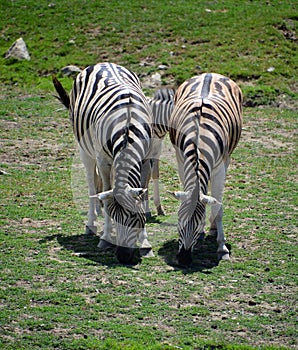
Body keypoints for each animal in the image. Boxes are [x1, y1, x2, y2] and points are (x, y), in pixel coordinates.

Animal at [53, 63, 155, 264]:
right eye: (115, 216)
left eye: (135, 217)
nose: (123, 257)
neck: (128, 127)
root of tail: (102, 64)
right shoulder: (104, 162)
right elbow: (107, 199)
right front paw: (106, 238)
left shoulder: (146, 161)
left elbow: (142, 197)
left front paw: (145, 244)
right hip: (85, 149)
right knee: (92, 185)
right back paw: (91, 224)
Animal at [169, 73, 243, 266]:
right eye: (179, 220)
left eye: (195, 226)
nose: (184, 259)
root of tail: (210, 74)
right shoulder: (181, 161)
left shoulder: (220, 169)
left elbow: (218, 207)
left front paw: (222, 248)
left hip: (227, 159)